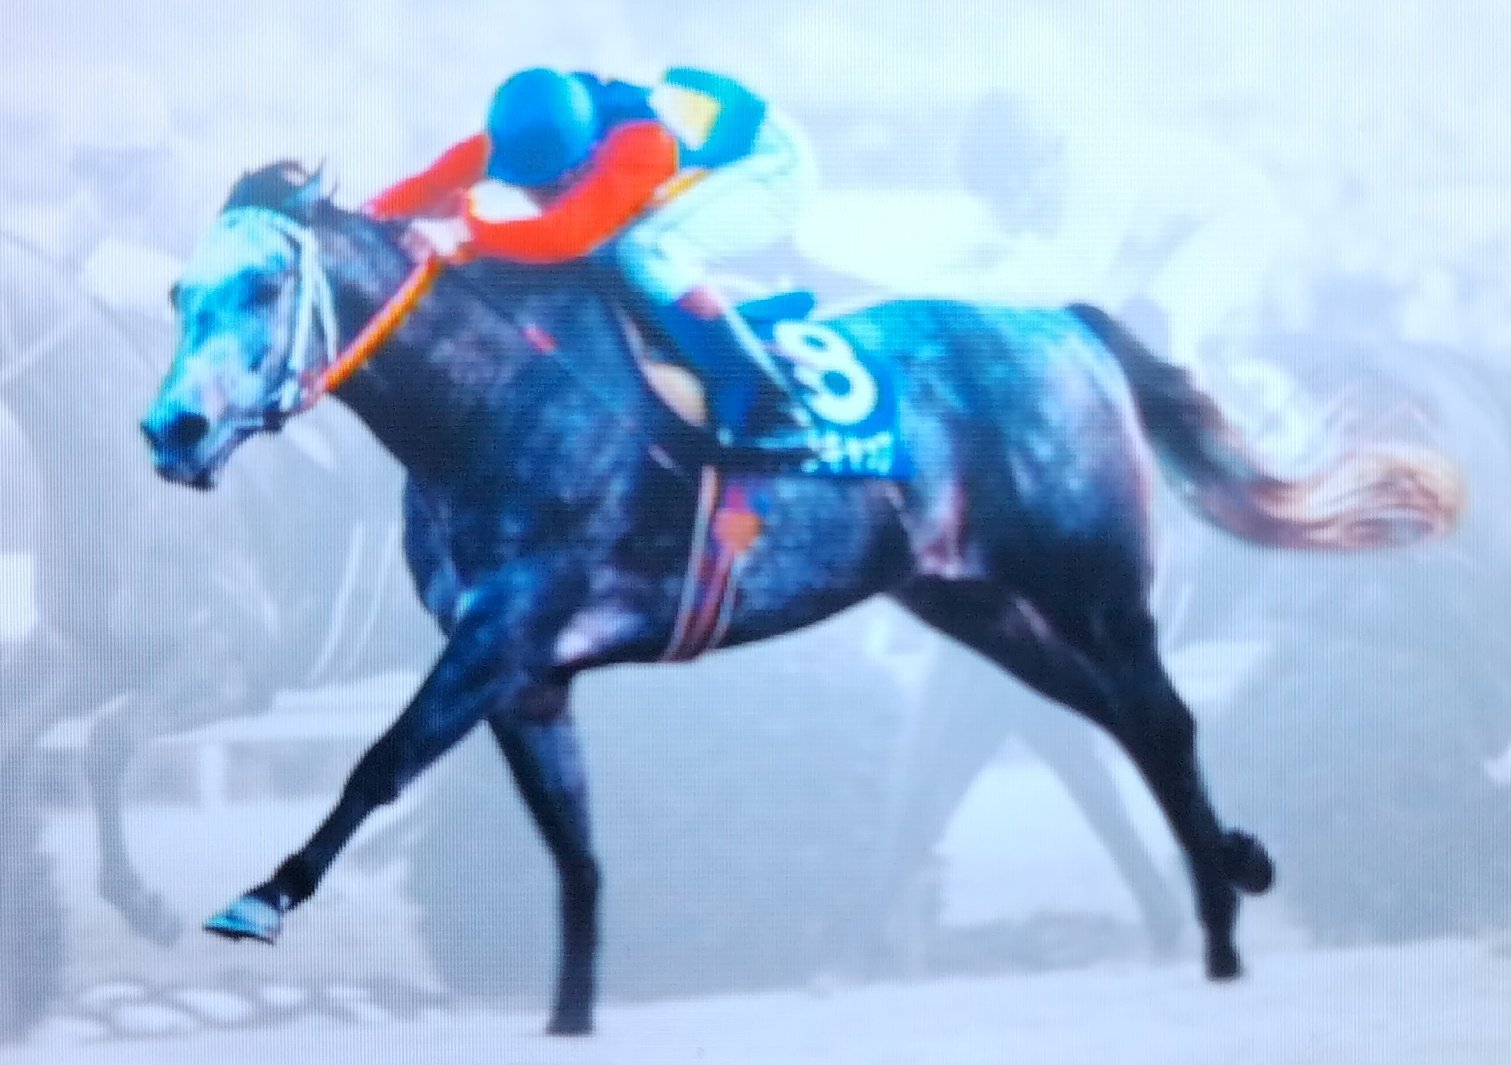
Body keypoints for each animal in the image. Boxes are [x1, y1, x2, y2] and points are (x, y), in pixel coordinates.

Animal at [140, 161, 1461, 1035]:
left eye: (260, 290)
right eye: (177, 298)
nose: (172, 430)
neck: (488, 404)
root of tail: (1063, 321)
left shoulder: (503, 629)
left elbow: (379, 761)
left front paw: (261, 898)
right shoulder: (529, 676)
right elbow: (575, 857)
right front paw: (570, 1017)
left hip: (1090, 588)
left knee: (1162, 723)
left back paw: (1222, 923)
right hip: (976, 609)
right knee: (1112, 726)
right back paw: (1220, 883)